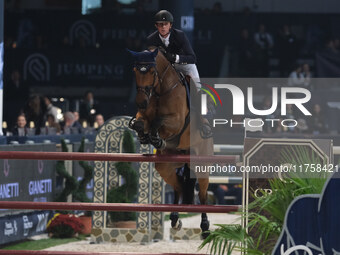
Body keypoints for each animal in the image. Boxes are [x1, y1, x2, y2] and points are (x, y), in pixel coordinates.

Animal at [129, 46, 214, 238]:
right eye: (135, 71)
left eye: (152, 72)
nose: (141, 102)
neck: (160, 90)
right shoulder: (143, 115)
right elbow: (140, 123)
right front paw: (145, 137)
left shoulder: (176, 121)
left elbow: (159, 122)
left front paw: (156, 138)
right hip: (166, 165)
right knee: (179, 187)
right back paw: (175, 219)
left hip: (202, 164)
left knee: (203, 195)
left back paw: (205, 227)